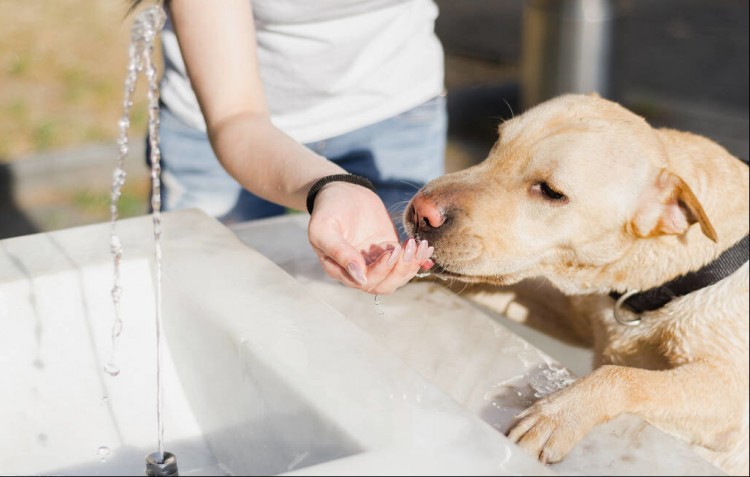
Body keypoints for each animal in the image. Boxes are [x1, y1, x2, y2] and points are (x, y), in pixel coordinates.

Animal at [408, 95, 748, 474]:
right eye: (497, 143)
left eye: (551, 192)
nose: (421, 211)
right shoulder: (572, 312)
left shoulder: (731, 396)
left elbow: (624, 376)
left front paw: (555, 416)